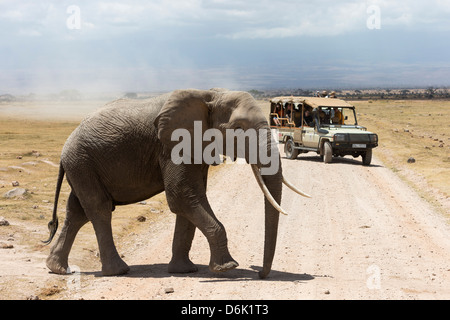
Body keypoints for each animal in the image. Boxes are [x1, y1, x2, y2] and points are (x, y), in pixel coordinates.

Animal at [43, 89, 310, 278]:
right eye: (238, 128)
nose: (261, 275)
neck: (212, 94)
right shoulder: (173, 145)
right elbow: (182, 195)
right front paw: (227, 268)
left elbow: (191, 199)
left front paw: (185, 270)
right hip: (82, 161)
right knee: (99, 209)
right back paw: (119, 271)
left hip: (82, 166)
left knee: (77, 212)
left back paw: (58, 269)